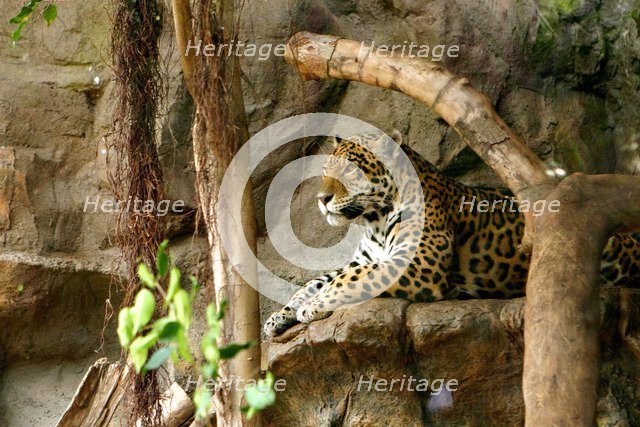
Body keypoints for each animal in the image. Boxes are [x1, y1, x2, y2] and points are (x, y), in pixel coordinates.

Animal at [263, 129, 640, 337]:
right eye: (328, 169)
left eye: (351, 171)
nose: (321, 199)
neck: (374, 220)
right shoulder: (366, 258)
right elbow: (317, 279)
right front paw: (279, 316)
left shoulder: (418, 266)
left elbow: (350, 279)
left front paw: (312, 307)